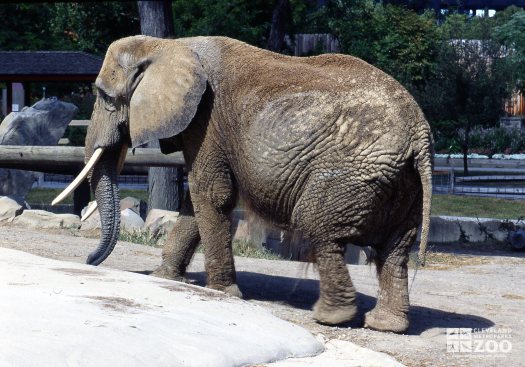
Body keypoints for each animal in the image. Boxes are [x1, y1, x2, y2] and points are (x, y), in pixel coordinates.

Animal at [55, 36, 432, 334]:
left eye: (105, 97)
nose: (88, 260)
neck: (166, 45)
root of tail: (420, 133)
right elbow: (197, 199)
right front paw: (165, 278)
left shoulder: (206, 119)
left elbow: (211, 193)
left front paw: (222, 293)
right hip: (403, 184)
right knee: (396, 249)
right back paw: (386, 325)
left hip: (351, 172)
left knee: (321, 230)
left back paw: (331, 318)